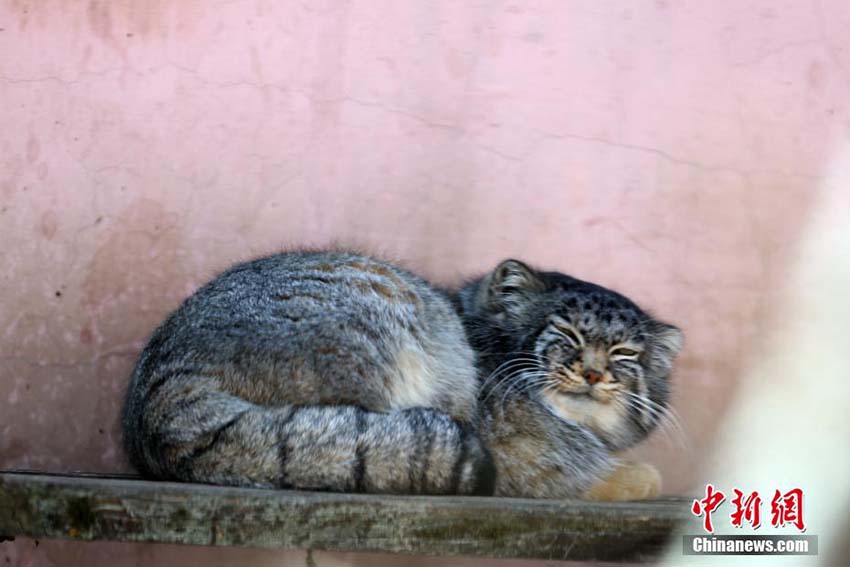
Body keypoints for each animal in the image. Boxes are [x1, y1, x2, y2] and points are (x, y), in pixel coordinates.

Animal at [121, 251, 684, 500]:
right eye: (566, 332)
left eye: (624, 353)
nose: (592, 373)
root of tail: (157, 391)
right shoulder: (518, 456)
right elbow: (581, 474)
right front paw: (635, 476)